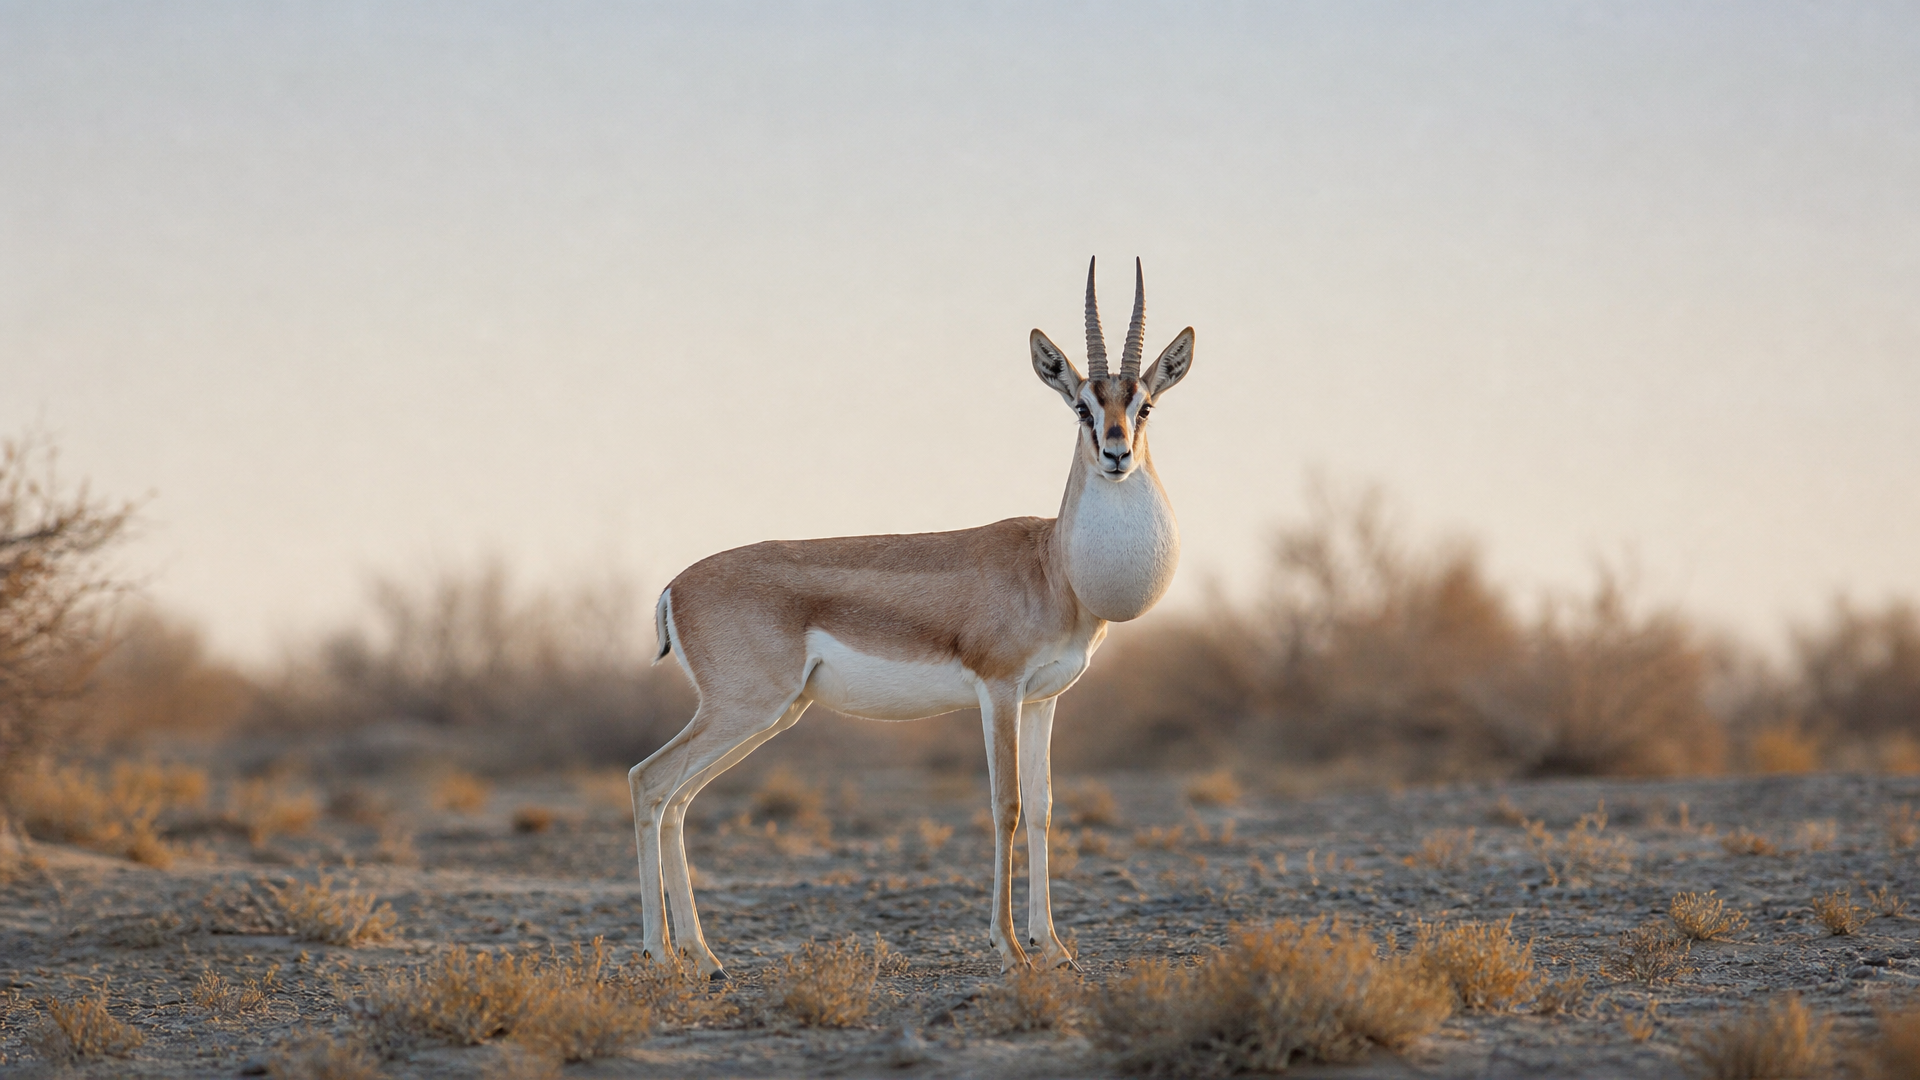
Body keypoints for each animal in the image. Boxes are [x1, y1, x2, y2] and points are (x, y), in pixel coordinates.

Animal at [630, 257, 1194, 976]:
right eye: (1080, 406)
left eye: (1143, 404)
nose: (1117, 454)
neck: (1051, 567)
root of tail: (674, 587)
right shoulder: (999, 691)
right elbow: (1005, 805)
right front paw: (1009, 949)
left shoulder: (1043, 699)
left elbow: (1042, 807)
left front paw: (1055, 947)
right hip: (744, 708)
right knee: (649, 781)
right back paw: (664, 954)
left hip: (769, 715)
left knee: (677, 798)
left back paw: (701, 957)